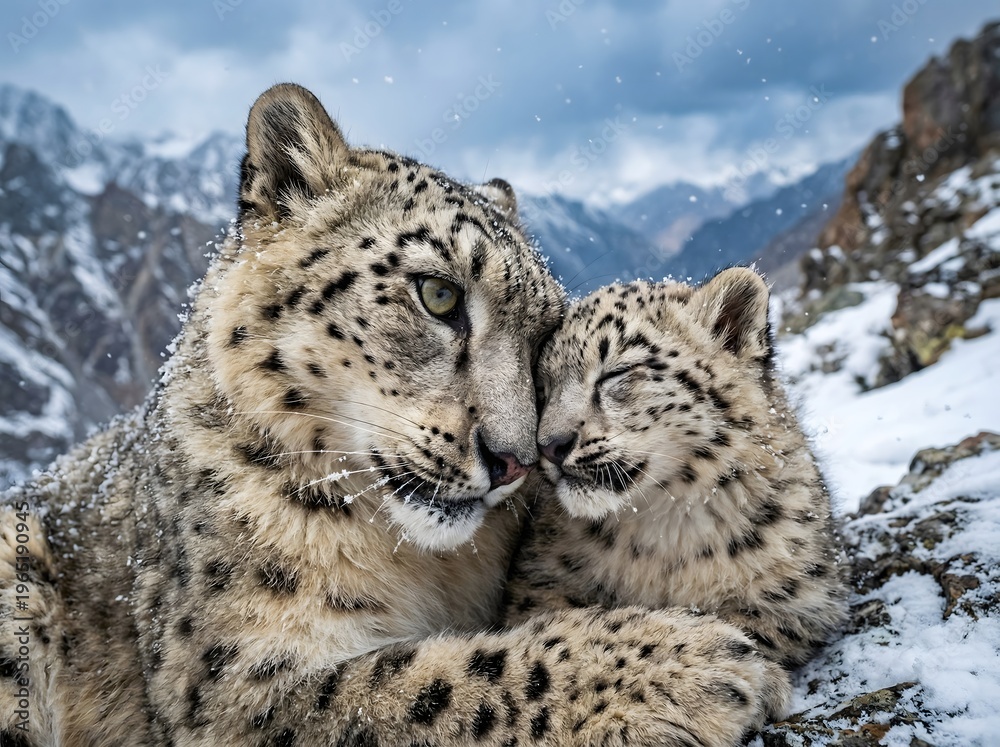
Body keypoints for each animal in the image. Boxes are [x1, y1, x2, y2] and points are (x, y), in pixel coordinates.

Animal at [0, 85, 789, 746]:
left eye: (541, 336)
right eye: (438, 295)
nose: (516, 459)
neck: (422, 566)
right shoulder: (230, 686)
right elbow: (412, 683)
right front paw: (692, 664)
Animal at [504, 268, 850, 737]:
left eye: (616, 372)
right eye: (541, 388)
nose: (550, 445)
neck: (664, 526)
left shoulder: (803, 597)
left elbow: (758, 625)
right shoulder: (537, 584)